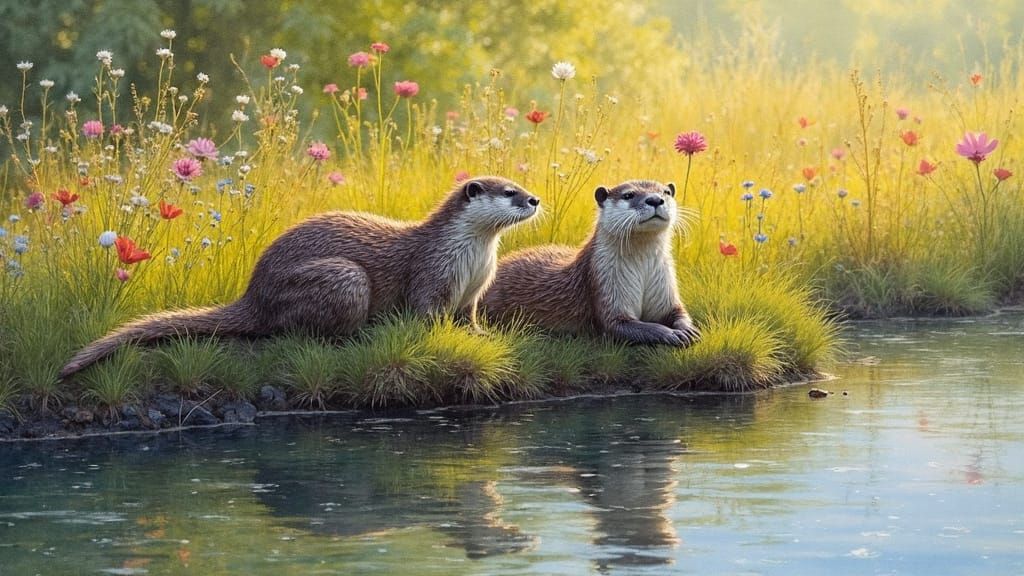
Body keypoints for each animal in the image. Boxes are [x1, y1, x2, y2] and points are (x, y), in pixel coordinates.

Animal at [60, 176, 540, 378]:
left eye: (521, 184)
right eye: (509, 192)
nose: (535, 198)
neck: (472, 259)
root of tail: (254, 293)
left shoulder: (474, 290)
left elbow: (470, 317)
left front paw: (482, 336)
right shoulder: (432, 273)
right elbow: (427, 315)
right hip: (343, 277)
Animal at [482, 179, 699, 347]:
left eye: (666, 192)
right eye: (629, 195)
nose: (655, 199)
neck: (642, 270)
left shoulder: (664, 286)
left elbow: (677, 311)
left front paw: (688, 328)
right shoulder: (604, 283)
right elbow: (619, 324)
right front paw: (671, 333)